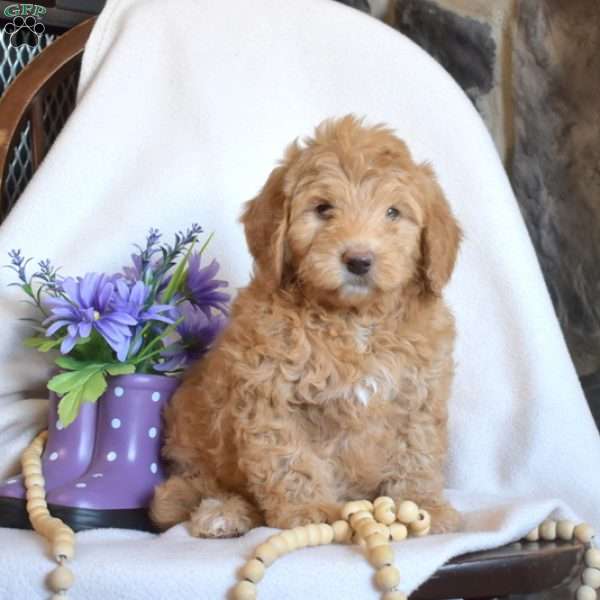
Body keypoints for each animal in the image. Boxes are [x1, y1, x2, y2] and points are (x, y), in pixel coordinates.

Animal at [152, 115, 462, 536]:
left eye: (393, 213)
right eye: (323, 208)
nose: (358, 259)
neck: (354, 319)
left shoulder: (418, 396)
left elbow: (417, 452)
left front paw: (423, 504)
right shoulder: (272, 397)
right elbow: (289, 460)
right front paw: (308, 509)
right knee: (191, 491)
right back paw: (224, 513)